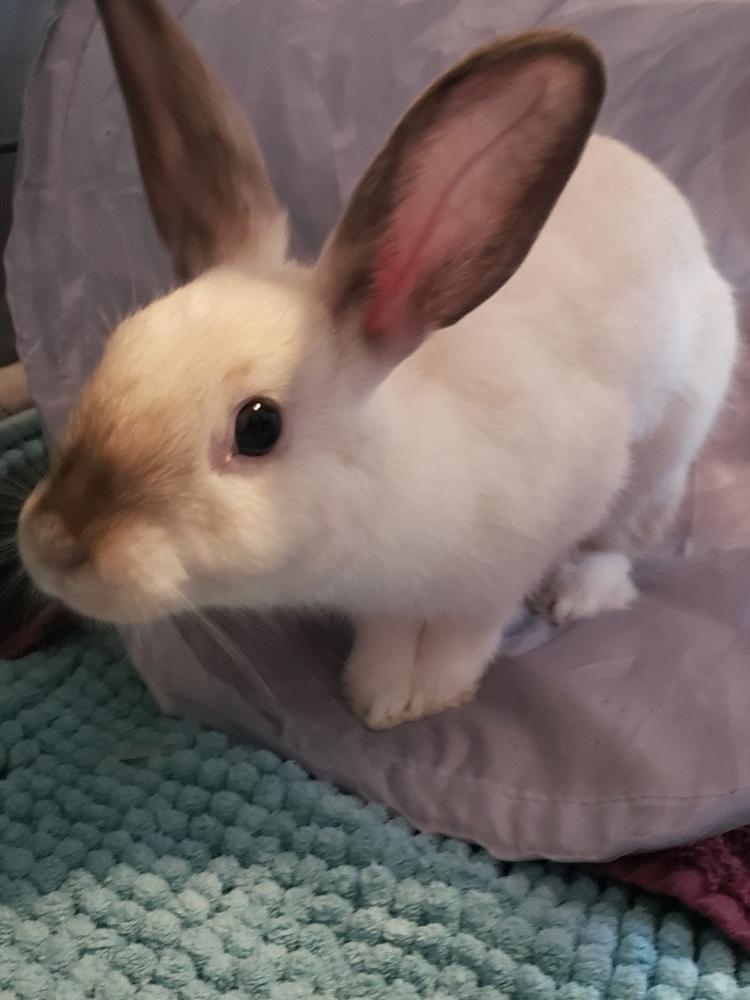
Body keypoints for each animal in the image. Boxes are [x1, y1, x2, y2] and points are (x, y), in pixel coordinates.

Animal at [18, 0, 738, 730]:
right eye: (116, 347)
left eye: (258, 426)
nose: (56, 546)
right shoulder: (381, 602)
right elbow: (389, 636)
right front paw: (380, 698)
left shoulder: (516, 558)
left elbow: (469, 630)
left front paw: (437, 693)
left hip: (663, 454)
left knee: (623, 538)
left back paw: (579, 595)